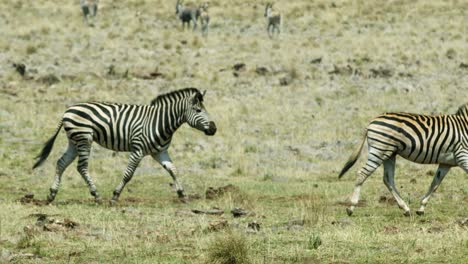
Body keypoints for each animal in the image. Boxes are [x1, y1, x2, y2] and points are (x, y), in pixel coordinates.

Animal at [32, 88, 218, 204]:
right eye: (198, 110)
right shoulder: (138, 150)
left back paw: (51, 194)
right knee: (81, 167)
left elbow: (173, 170)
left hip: (74, 141)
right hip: (84, 138)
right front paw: (115, 196)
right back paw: (97, 195)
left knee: (61, 163)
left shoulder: (160, 152)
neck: (161, 122)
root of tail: (67, 110)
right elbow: (128, 175)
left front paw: (182, 194)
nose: (214, 129)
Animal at [338, 103, 468, 217]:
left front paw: (421, 208)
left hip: (389, 153)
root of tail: (372, 121)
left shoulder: (446, 162)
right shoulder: (463, 155)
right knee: (362, 174)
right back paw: (351, 207)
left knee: (388, 179)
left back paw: (405, 208)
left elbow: (435, 184)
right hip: (380, 149)